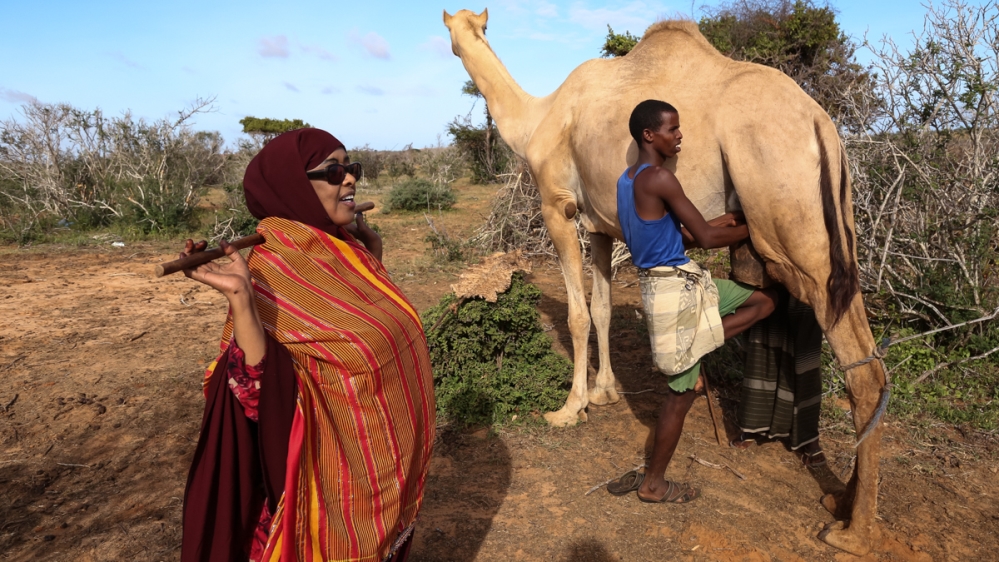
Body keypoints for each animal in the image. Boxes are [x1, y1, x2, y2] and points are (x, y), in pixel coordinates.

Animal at [446, 8, 892, 556]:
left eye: (457, 32)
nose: (455, 39)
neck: (538, 117)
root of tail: (821, 124)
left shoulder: (557, 206)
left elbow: (575, 314)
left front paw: (569, 409)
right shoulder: (600, 222)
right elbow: (602, 309)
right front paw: (606, 393)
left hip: (795, 229)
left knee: (862, 370)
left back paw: (855, 533)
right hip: (836, 222)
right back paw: (841, 502)